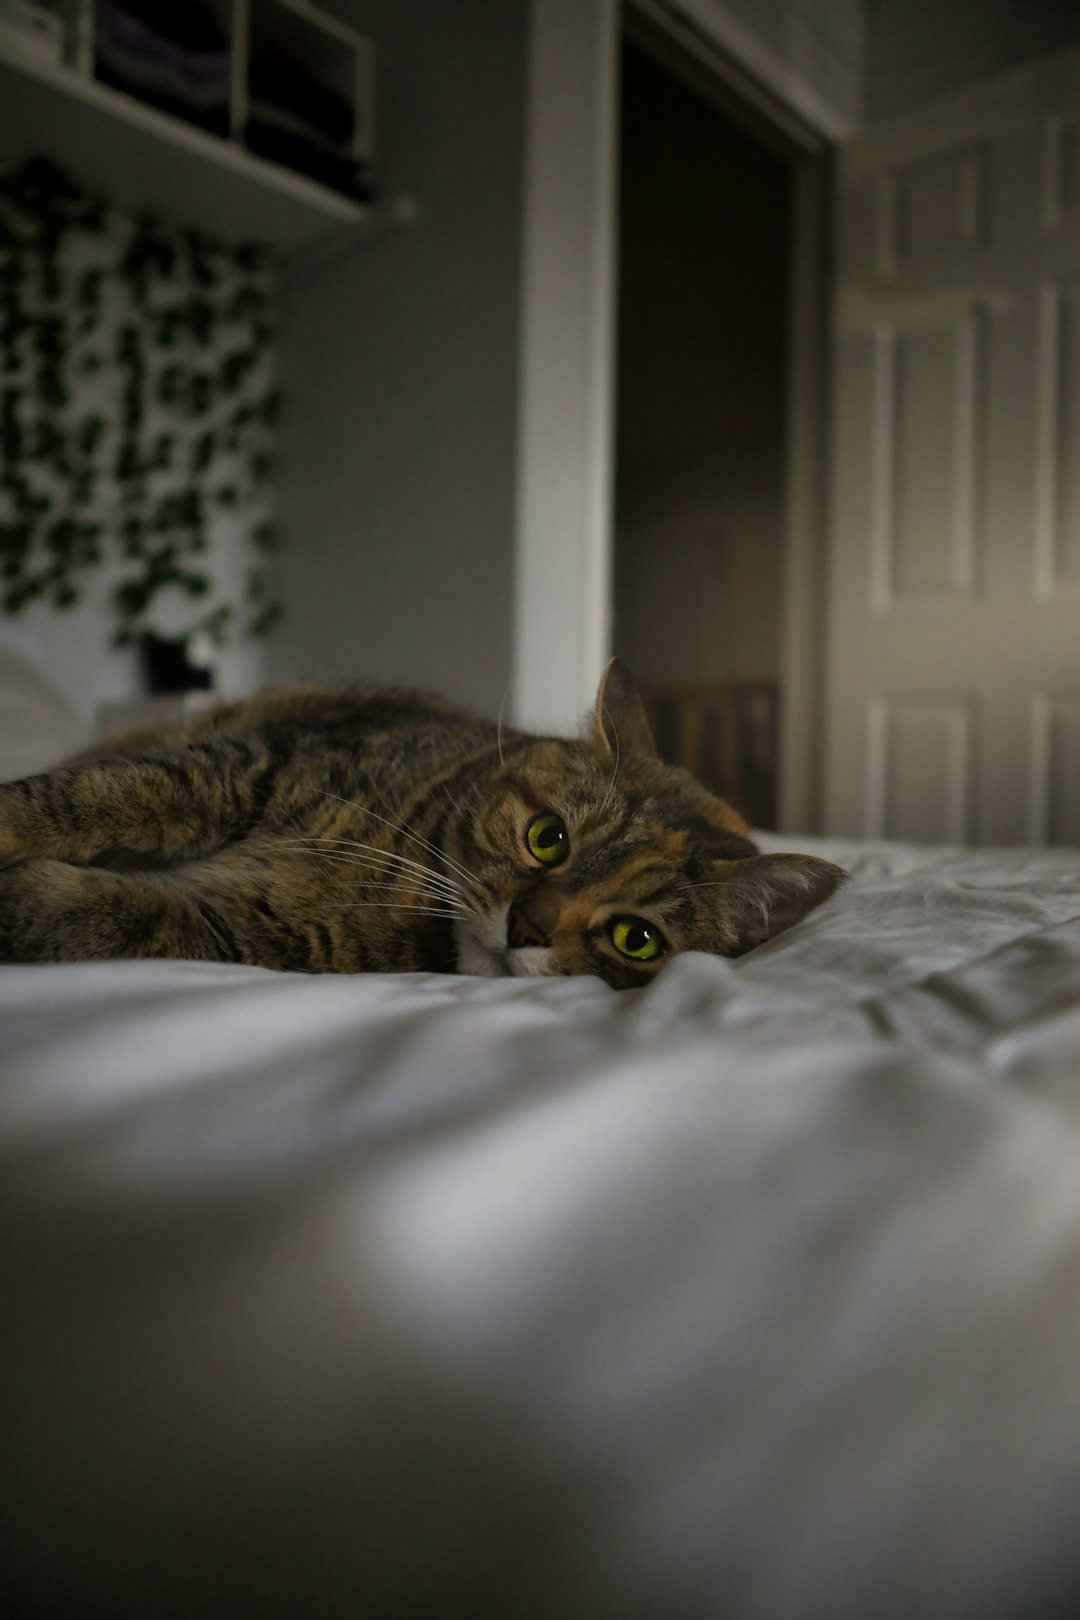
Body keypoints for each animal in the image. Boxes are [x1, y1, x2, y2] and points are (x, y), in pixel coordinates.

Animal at [0, 657, 841, 984]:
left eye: (636, 939)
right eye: (548, 839)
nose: (527, 928)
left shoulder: (243, 928)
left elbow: (107, 914)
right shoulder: (238, 770)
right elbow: (93, 796)